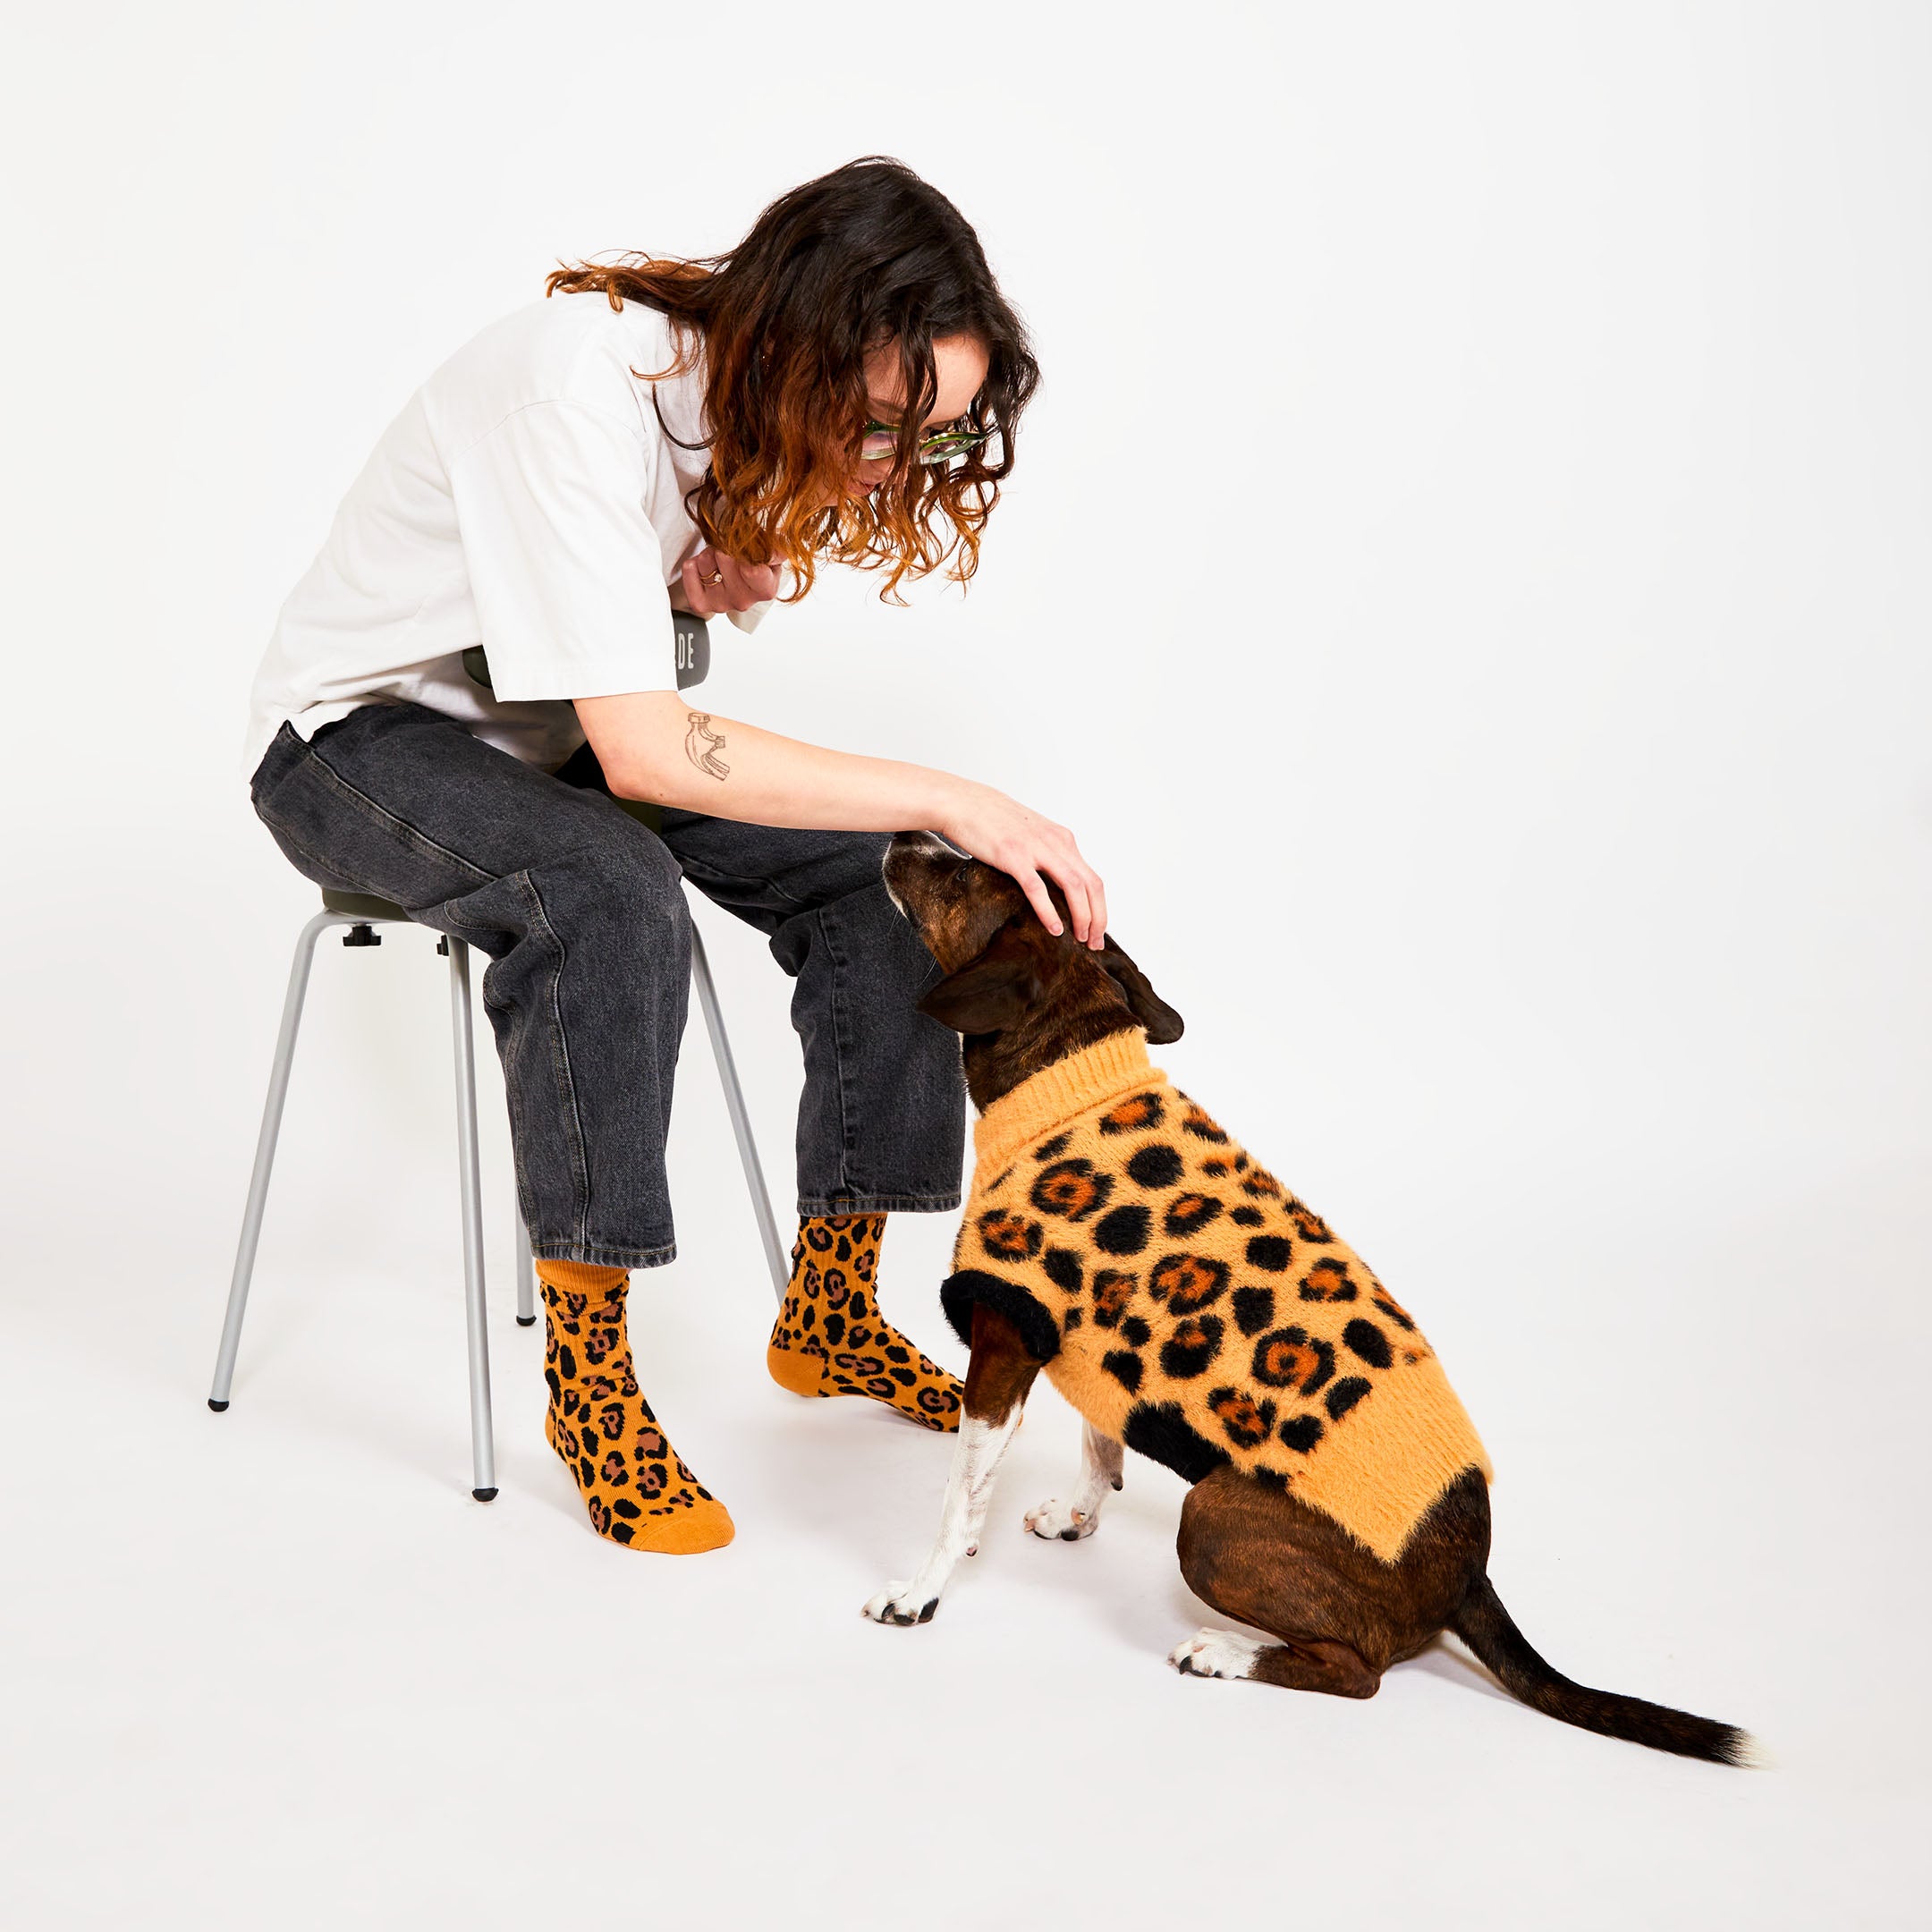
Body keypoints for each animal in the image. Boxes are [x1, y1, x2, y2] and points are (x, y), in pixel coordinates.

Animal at [869, 830, 1761, 1769]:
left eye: (963, 870)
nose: (901, 833)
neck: (1068, 1077)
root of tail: (1468, 1573)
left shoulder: (1003, 1343)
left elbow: (959, 1495)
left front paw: (921, 1591)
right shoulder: (1081, 1338)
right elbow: (1098, 1440)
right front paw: (1077, 1516)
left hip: (1211, 1515)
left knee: (1359, 1670)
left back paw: (1227, 1653)